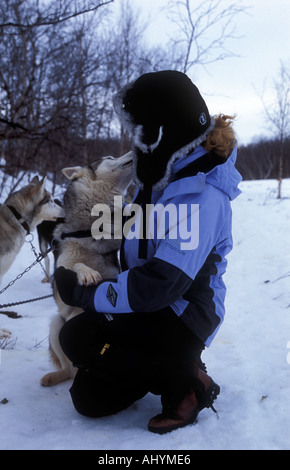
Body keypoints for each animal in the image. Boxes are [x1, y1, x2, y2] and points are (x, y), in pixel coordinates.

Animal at [40, 152, 133, 388]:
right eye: (109, 157)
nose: (132, 152)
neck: (90, 230)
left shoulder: (113, 272)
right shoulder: (62, 285)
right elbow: (75, 265)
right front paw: (87, 273)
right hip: (56, 324)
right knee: (66, 369)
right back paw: (54, 376)